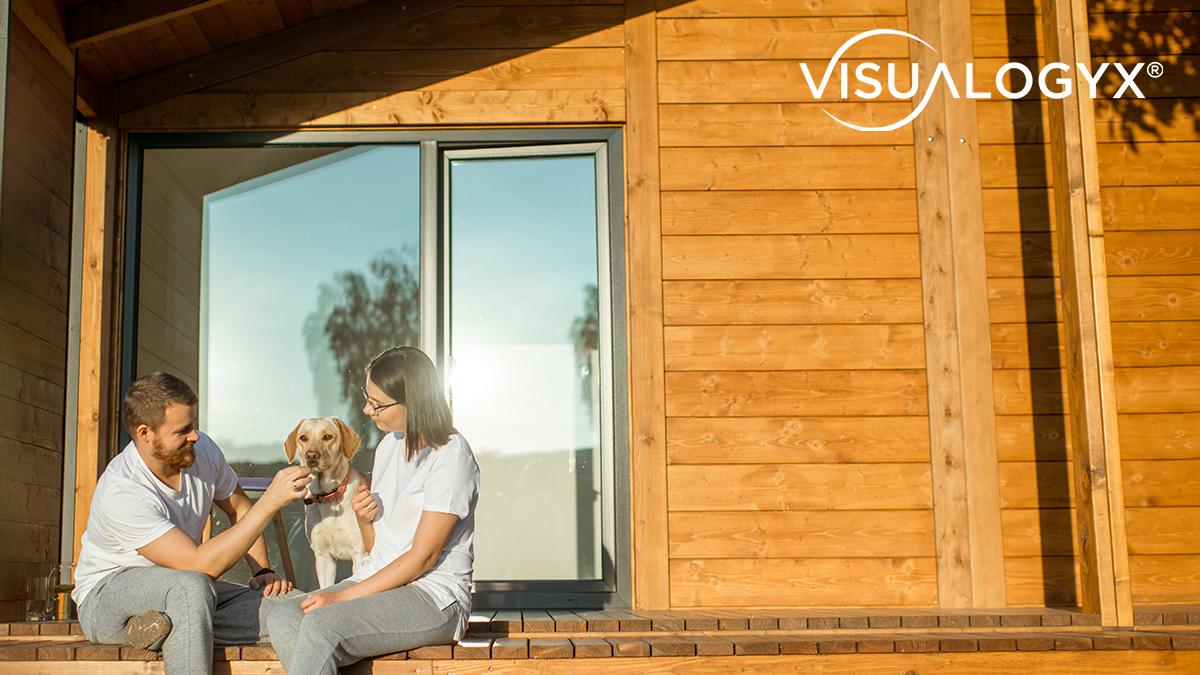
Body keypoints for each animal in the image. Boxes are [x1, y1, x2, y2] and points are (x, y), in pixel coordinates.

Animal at [283, 413, 367, 586]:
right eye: (303, 437)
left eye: (328, 436)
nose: (311, 455)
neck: (328, 496)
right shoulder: (324, 558)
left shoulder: (359, 554)